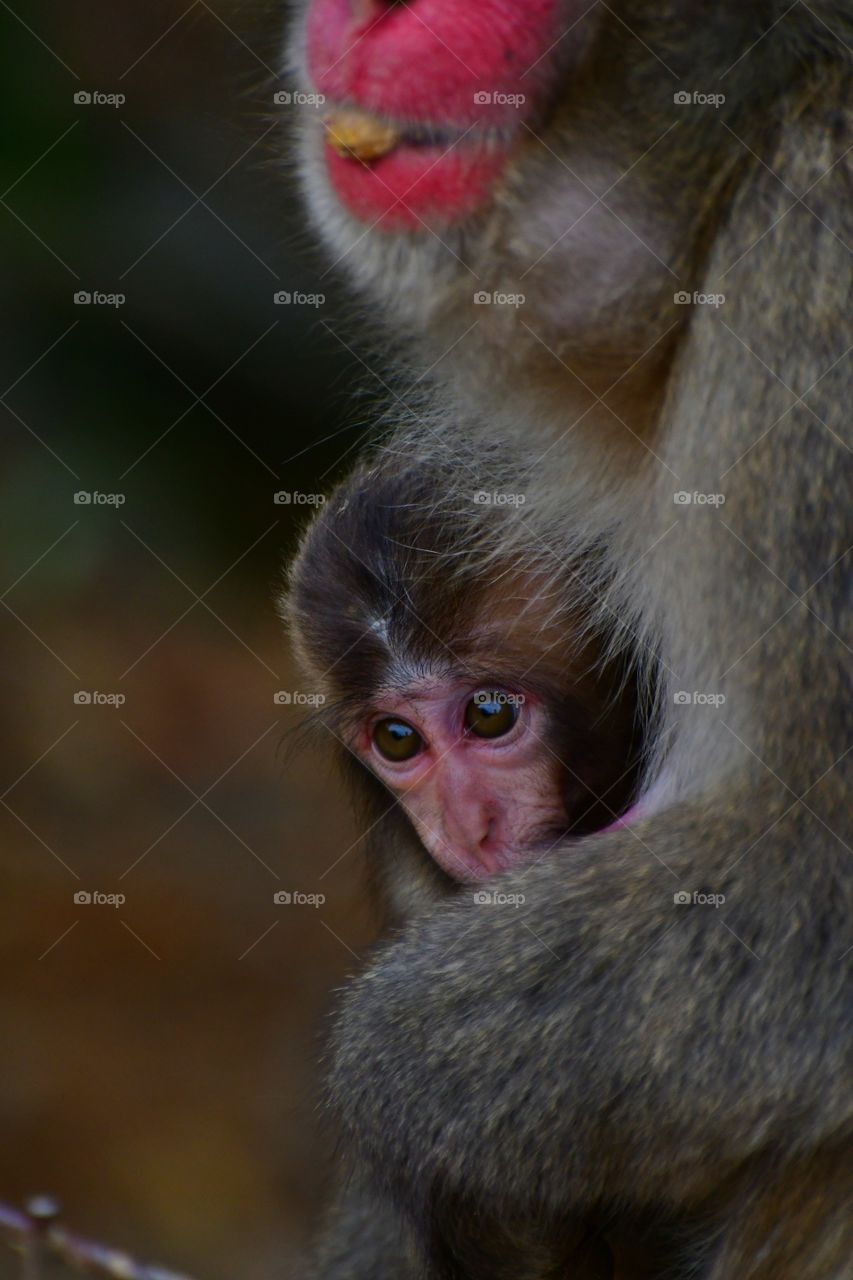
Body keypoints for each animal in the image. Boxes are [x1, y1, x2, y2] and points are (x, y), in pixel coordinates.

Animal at [283, 1, 853, 1277]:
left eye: (490, 718)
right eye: (398, 742)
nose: (362, 16)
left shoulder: (812, 290)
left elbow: (812, 881)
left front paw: (394, 1073)